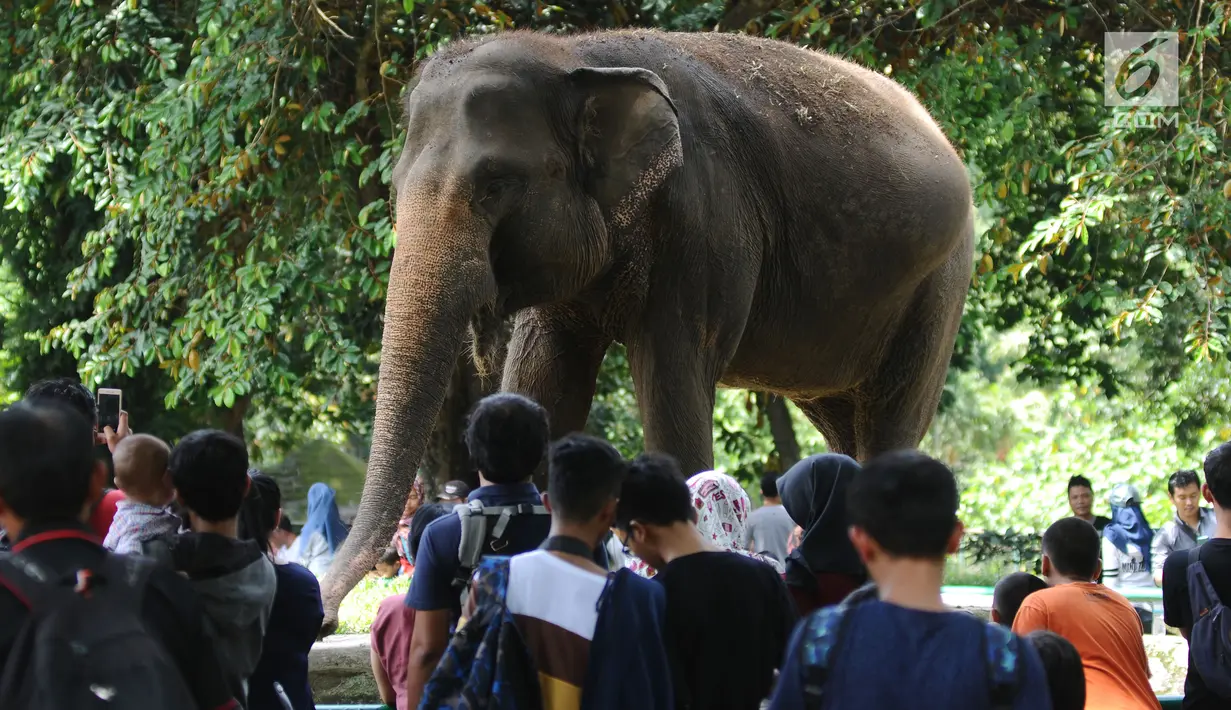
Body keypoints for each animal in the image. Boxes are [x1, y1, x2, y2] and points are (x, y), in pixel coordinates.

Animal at [317, 27, 970, 627]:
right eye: (394, 189)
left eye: (495, 183)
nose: (324, 617)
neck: (574, 53)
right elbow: (546, 377)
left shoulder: (706, 222)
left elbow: (671, 378)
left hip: (940, 285)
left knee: (890, 416)